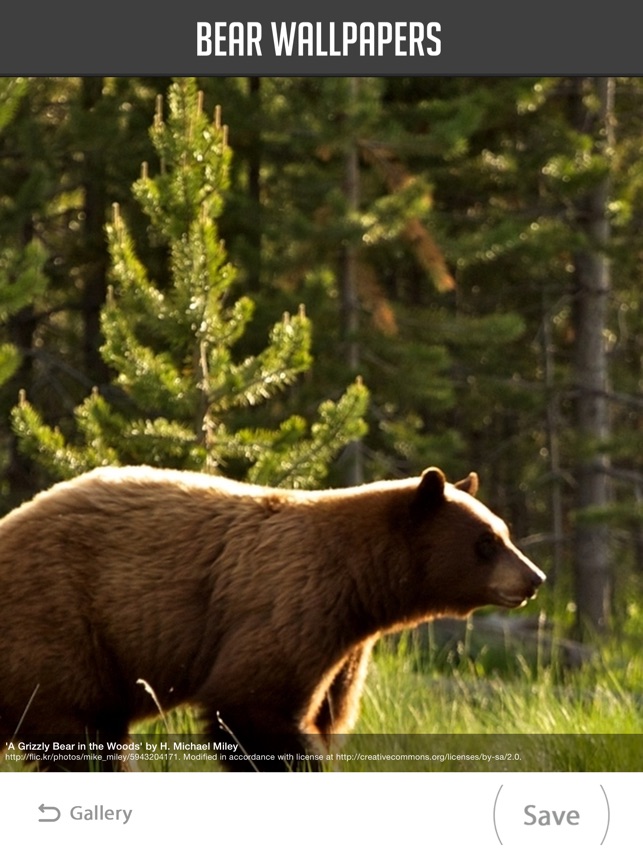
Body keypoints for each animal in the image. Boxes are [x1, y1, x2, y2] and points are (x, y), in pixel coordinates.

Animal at [0, 465, 544, 771]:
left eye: (505, 531)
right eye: (486, 542)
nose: (535, 578)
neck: (362, 583)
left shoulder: (347, 649)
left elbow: (329, 713)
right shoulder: (294, 603)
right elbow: (255, 705)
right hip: (61, 625)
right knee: (79, 736)